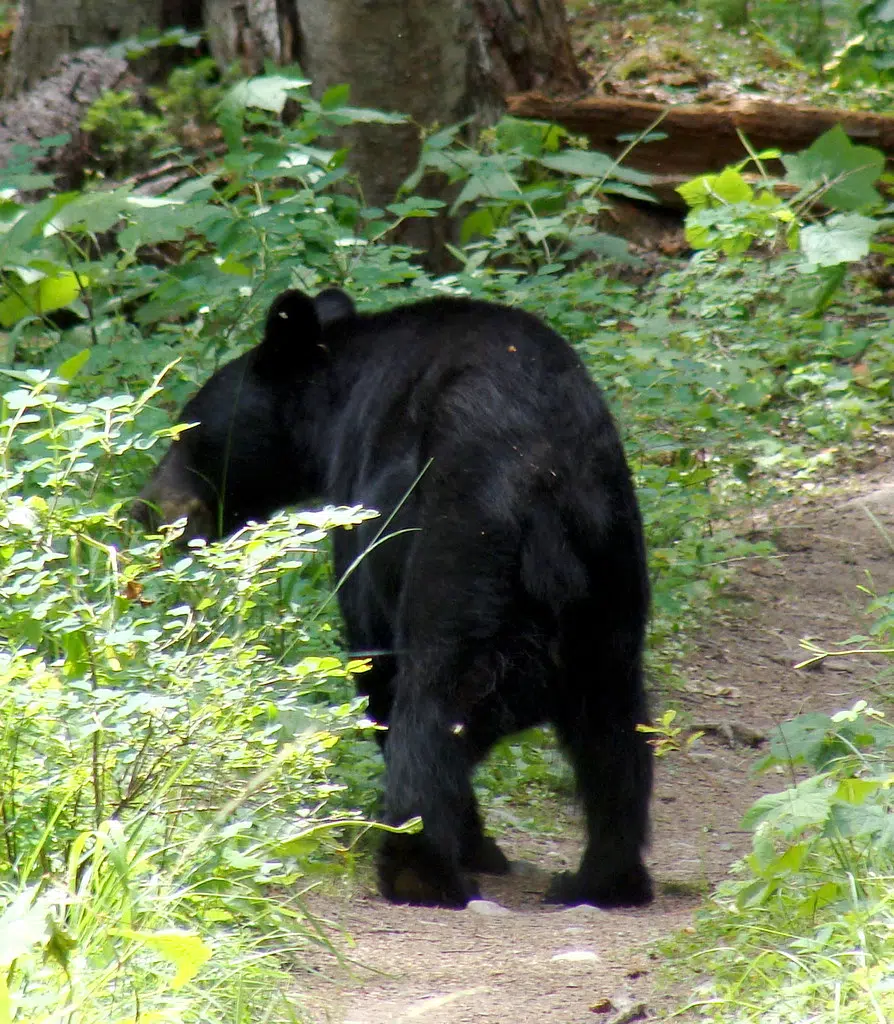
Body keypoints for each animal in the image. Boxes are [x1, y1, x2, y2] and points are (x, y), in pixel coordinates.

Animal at [132, 288, 647, 905]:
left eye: (185, 431)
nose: (144, 508)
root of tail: (545, 487)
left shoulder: (363, 512)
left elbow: (371, 658)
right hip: (609, 572)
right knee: (616, 733)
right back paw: (604, 877)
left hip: (460, 551)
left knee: (430, 706)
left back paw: (420, 868)